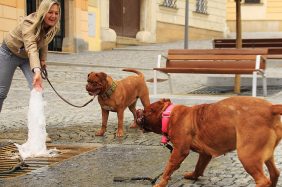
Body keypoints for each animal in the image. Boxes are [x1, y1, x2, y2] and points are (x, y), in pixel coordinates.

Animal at [135, 97, 282, 186]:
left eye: (146, 111)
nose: (138, 111)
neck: (168, 115)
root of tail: (271, 108)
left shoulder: (179, 151)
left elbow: (168, 169)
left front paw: (160, 183)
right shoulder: (205, 154)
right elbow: (199, 167)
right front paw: (193, 176)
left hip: (247, 156)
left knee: (263, 181)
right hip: (265, 155)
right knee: (274, 173)